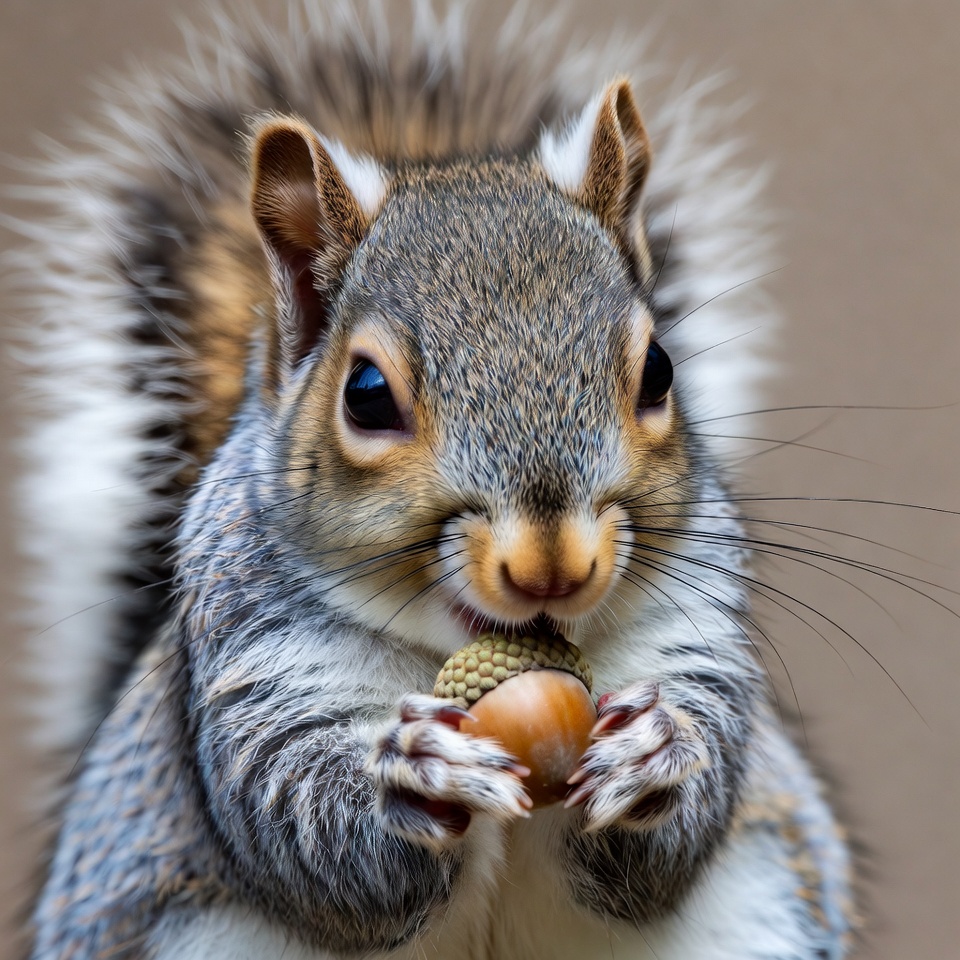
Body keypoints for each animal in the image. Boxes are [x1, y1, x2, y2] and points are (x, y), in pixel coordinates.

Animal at [12, 2, 857, 958]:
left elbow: (679, 824)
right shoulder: (254, 665)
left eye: (659, 372)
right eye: (366, 394)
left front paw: (656, 754)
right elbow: (301, 822)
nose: (552, 568)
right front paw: (413, 777)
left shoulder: (694, 628)